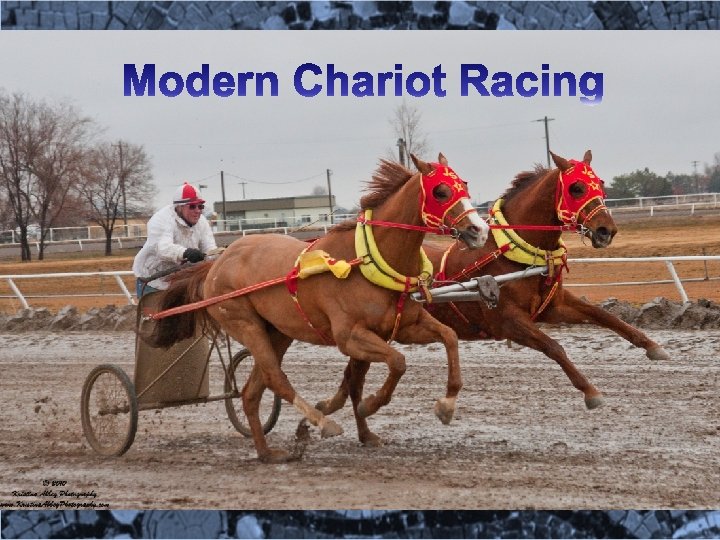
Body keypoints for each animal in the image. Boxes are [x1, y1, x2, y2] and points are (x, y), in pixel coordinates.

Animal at [149, 153, 489, 462]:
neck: (366, 260)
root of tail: (218, 262)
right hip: (245, 324)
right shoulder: (349, 336)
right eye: (441, 191)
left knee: (251, 392)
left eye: (464, 185)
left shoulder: (403, 326)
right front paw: (369, 404)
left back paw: (267, 452)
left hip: (278, 332)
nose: (480, 230)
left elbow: (448, 338)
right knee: (275, 378)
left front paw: (446, 406)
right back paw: (321, 423)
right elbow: (397, 362)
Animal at [317, 150, 671, 445]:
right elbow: (554, 347)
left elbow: (604, 316)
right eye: (576, 188)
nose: (605, 230)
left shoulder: (553, 306)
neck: (511, 254)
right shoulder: (508, 321)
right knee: (355, 379)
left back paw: (332, 408)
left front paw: (652, 346)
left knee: (351, 376)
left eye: (600, 183)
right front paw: (590, 391)